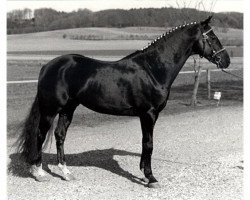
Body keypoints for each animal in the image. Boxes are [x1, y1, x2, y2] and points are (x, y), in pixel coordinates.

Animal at [16, 16, 229, 188]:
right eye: (211, 37)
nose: (226, 60)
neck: (152, 69)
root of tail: (48, 66)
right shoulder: (148, 114)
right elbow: (149, 144)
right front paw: (151, 178)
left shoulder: (148, 115)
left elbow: (145, 144)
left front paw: (144, 173)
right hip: (50, 109)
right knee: (40, 135)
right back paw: (39, 173)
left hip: (68, 108)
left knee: (60, 136)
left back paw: (67, 173)